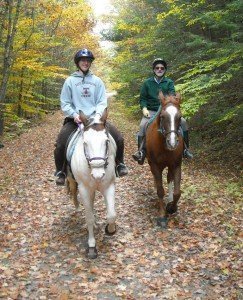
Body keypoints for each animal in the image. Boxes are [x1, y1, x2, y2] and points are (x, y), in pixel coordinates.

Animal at [65, 109, 117, 258]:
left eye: (106, 141)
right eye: (85, 143)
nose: (98, 174)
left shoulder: (109, 186)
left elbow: (111, 215)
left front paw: (109, 230)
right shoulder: (84, 189)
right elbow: (88, 217)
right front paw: (92, 246)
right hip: (73, 181)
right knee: (75, 194)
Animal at [146, 91, 182, 227]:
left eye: (180, 117)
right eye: (162, 116)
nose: (172, 143)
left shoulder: (176, 164)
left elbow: (177, 192)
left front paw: (171, 207)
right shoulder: (155, 166)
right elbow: (160, 190)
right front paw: (162, 215)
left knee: (169, 179)